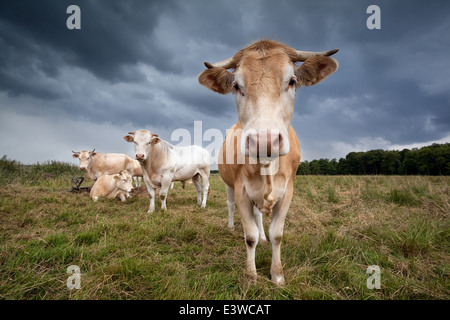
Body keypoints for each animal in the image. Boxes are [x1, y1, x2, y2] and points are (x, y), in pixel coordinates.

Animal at [197, 39, 338, 284]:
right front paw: (251, 276)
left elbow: (276, 234)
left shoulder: (288, 190)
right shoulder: (242, 190)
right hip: (228, 184)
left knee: (259, 217)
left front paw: (277, 275)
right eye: (236, 86)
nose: (264, 141)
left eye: (292, 81)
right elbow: (249, 236)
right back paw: (231, 226)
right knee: (231, 206)